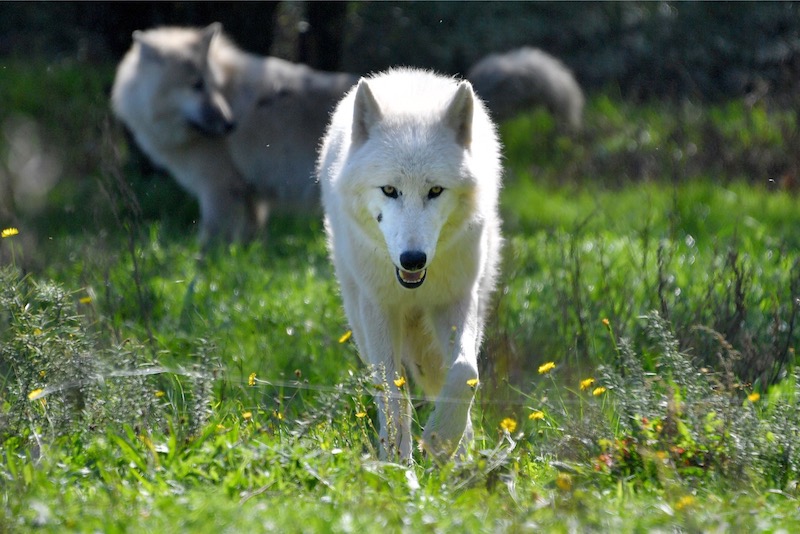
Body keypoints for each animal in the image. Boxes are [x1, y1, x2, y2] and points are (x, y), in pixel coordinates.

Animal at [318, 68, 503, 462]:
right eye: (389, 190)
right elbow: (391, 391)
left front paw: (441, 438)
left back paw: (461, 460)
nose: (412, 259)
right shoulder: (379, 306)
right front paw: (396, 464)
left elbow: (465, 371)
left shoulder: (457, 299)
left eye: (435, 191)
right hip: (359, 318)